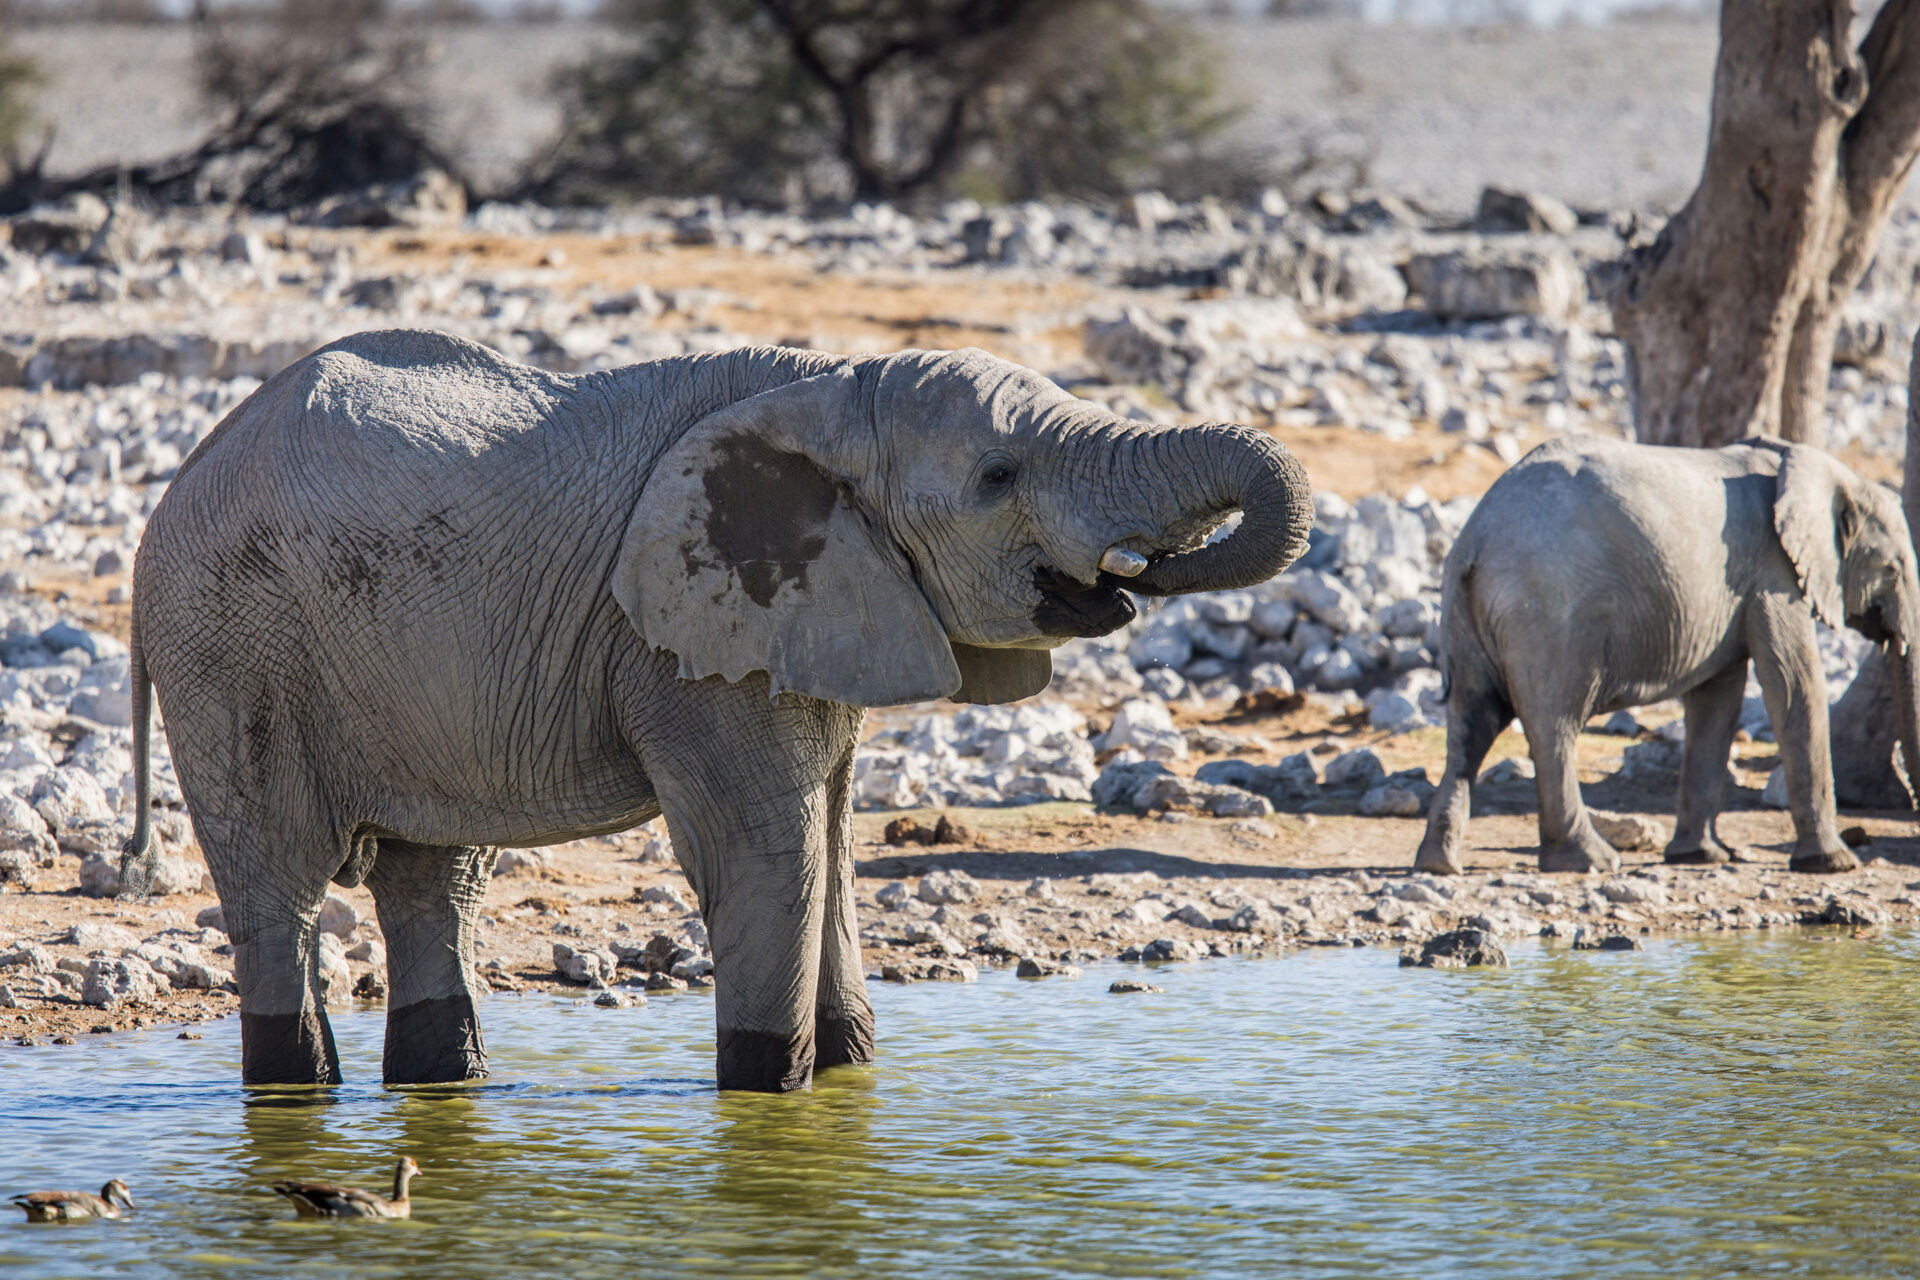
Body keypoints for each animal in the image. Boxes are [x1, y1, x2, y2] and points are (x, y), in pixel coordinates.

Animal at [119, 329, 1313, 1091]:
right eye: (998, 475)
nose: (1138, 573)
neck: (834, 387)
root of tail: (175, 489)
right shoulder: (691, 643)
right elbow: (766, 848)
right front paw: (770, 1094)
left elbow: (830, 839)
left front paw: (844, 1076)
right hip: (230, 646)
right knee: (278, 884)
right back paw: (294, 1089)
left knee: (434, 880)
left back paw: (443, 1083)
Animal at [1414, 434, 1920, 878]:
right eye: (1895, 569)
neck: (1813, 467)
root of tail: (1476, 535)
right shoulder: (1772, 574)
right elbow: (1796, 684)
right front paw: (1834, 864)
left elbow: (1717, 699)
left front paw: (1700, 857)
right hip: (1548, 613)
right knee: (1553, 725)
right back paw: (1593, 861)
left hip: (1469, 611)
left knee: (1472, 723)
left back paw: (1440, 865)